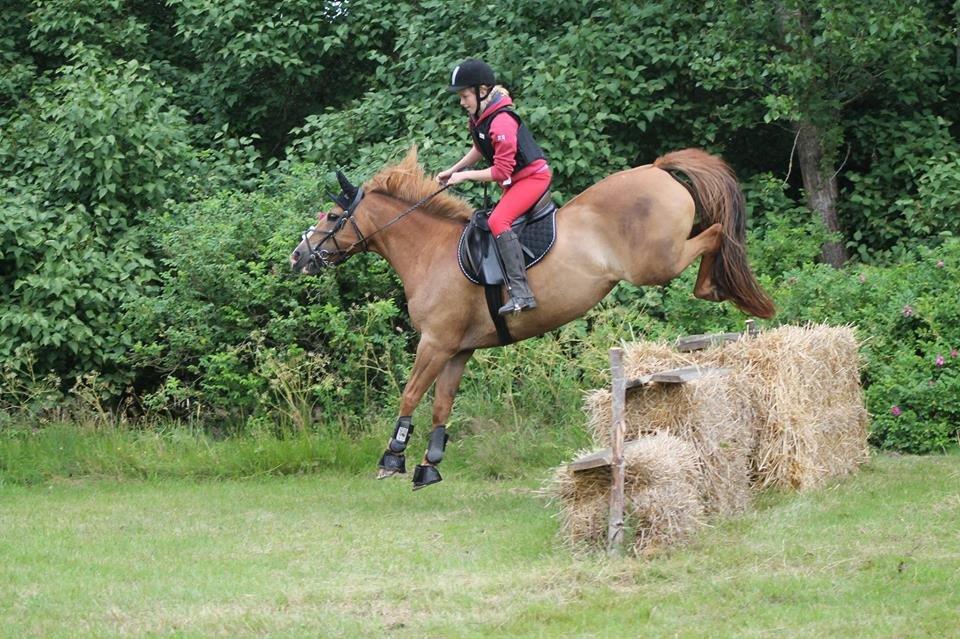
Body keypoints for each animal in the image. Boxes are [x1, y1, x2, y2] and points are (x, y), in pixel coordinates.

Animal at [288, 146, 776, 490]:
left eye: (332, 216)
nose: (298, 257)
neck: (430, 252)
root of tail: (656, 169)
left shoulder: (436, 342)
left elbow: (410, 394)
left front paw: (393, 458)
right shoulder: (457, 350)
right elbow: (442, 403)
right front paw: (429, 465)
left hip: (656, 262)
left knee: (715, 234)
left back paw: (714, 286)